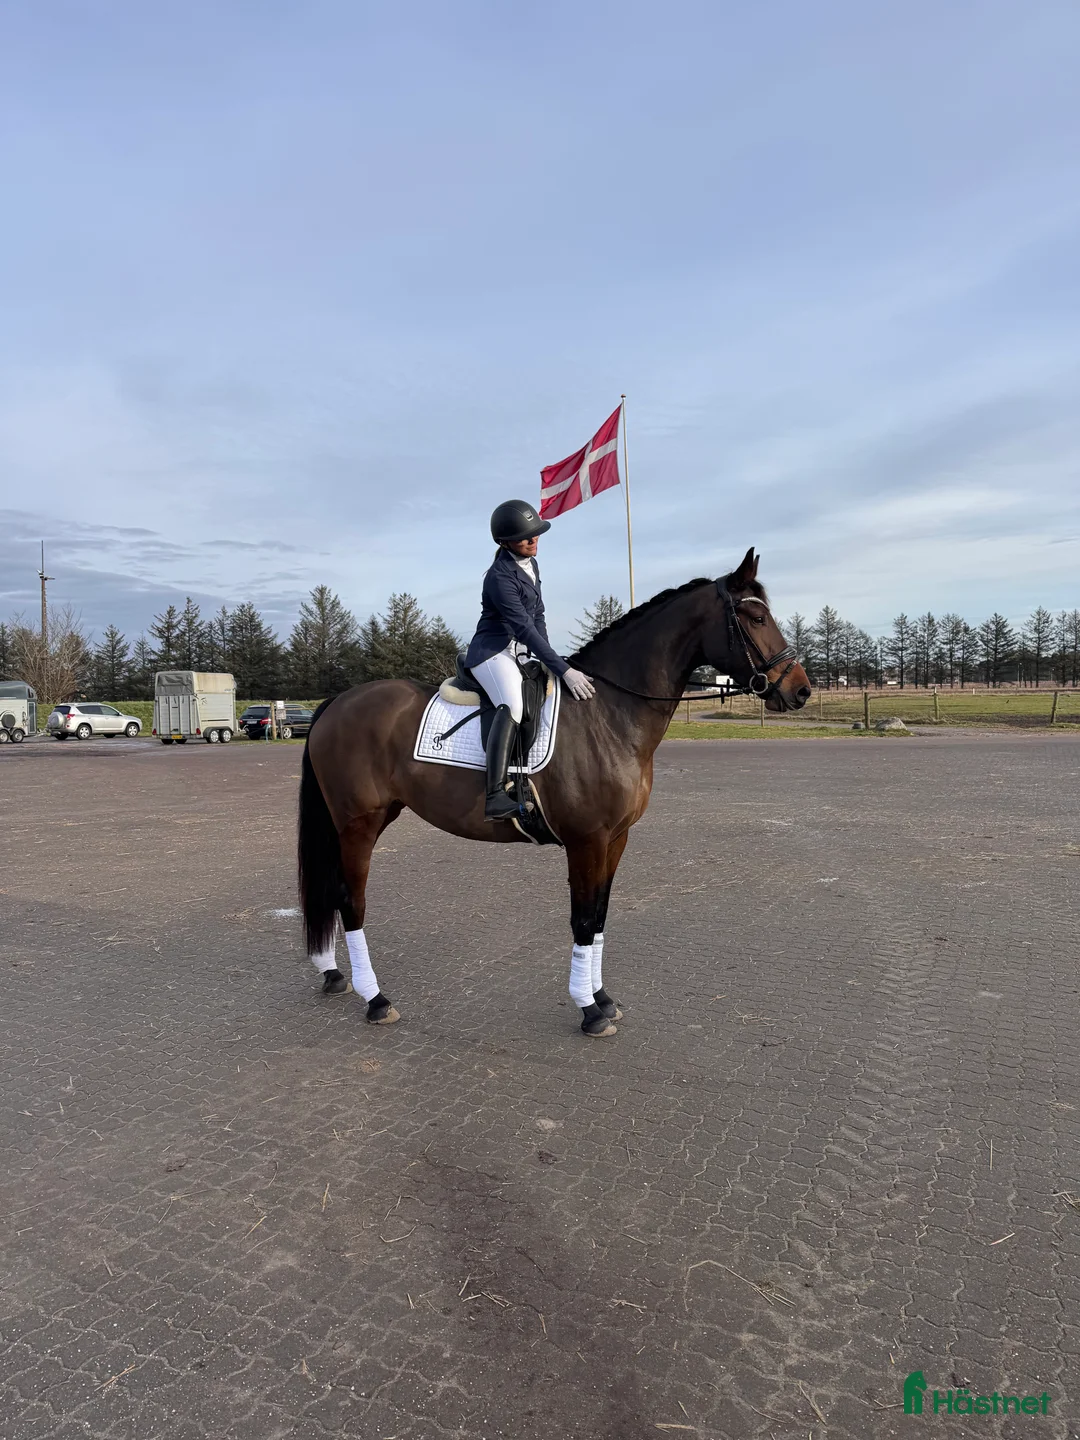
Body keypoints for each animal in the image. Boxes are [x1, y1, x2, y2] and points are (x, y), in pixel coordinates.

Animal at [297, 547, 811, 1037]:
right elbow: (582, 919)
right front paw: (589, 1010)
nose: (801, 691)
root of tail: (338, 702)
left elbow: (599, 916)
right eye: (756, 618)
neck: (609, 711)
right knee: (351, 900)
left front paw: (602, 997)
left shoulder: (616, 838)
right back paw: (376, 1000)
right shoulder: (587, 840)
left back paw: (334, 975)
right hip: (359, 823)